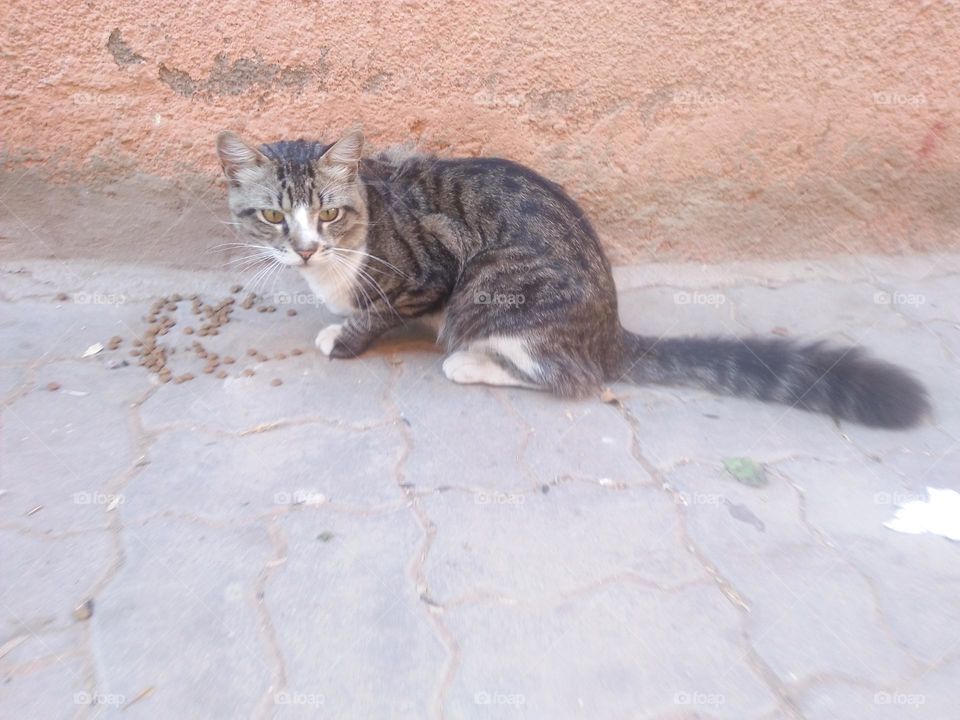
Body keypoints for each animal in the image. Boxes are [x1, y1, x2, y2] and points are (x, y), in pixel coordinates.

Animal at [216, 129, 928, 428]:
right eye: (273, 216)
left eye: (330, 214)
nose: (305, 250)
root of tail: (611, 330)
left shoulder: (435, 269)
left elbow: (380, 311)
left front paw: (345, 335)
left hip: (492, 284)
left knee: (572, 377)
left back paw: (469, 362)